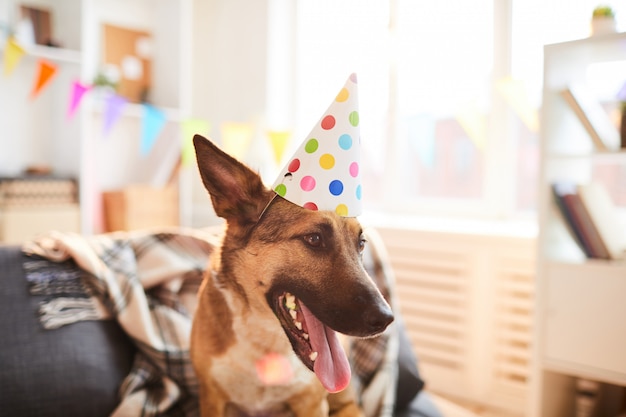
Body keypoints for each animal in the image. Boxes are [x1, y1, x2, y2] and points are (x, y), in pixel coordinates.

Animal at [190, 134, 392, 416]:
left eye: (361, 243)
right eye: (314, 238)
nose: (386, 319)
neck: (266, 341)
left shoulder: (313, 404)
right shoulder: (212, 398)